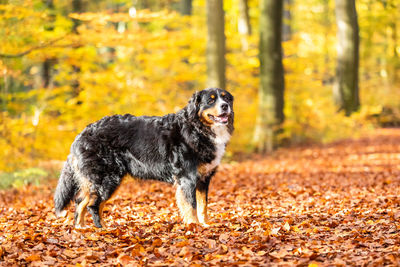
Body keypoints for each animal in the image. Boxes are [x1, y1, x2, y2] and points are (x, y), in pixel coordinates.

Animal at [54, 87, 234, 228]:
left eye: (225, 98)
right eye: (211, 100)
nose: (225, 106)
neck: (197, 129)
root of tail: (82, 134)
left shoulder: (204, 178)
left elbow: (203, 205)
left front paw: (205, 225)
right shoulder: (187, 177)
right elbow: (192, 206)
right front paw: (194, 226)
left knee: (81, 202)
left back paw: (81, 228)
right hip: (107, 179)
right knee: (93, 204)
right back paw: (102, 229)